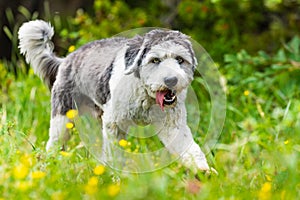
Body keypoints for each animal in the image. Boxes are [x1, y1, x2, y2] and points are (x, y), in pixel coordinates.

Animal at [18, 20, 213, 173]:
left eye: (180, 59)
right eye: (155, 60)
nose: (171, 80)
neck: (144, 95)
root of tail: (66, 60)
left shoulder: (172, 125)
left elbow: (188, 146)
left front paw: (203, 170)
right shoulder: (114, 125)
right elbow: (116, 154)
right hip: (63, 117)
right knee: (54, 143)